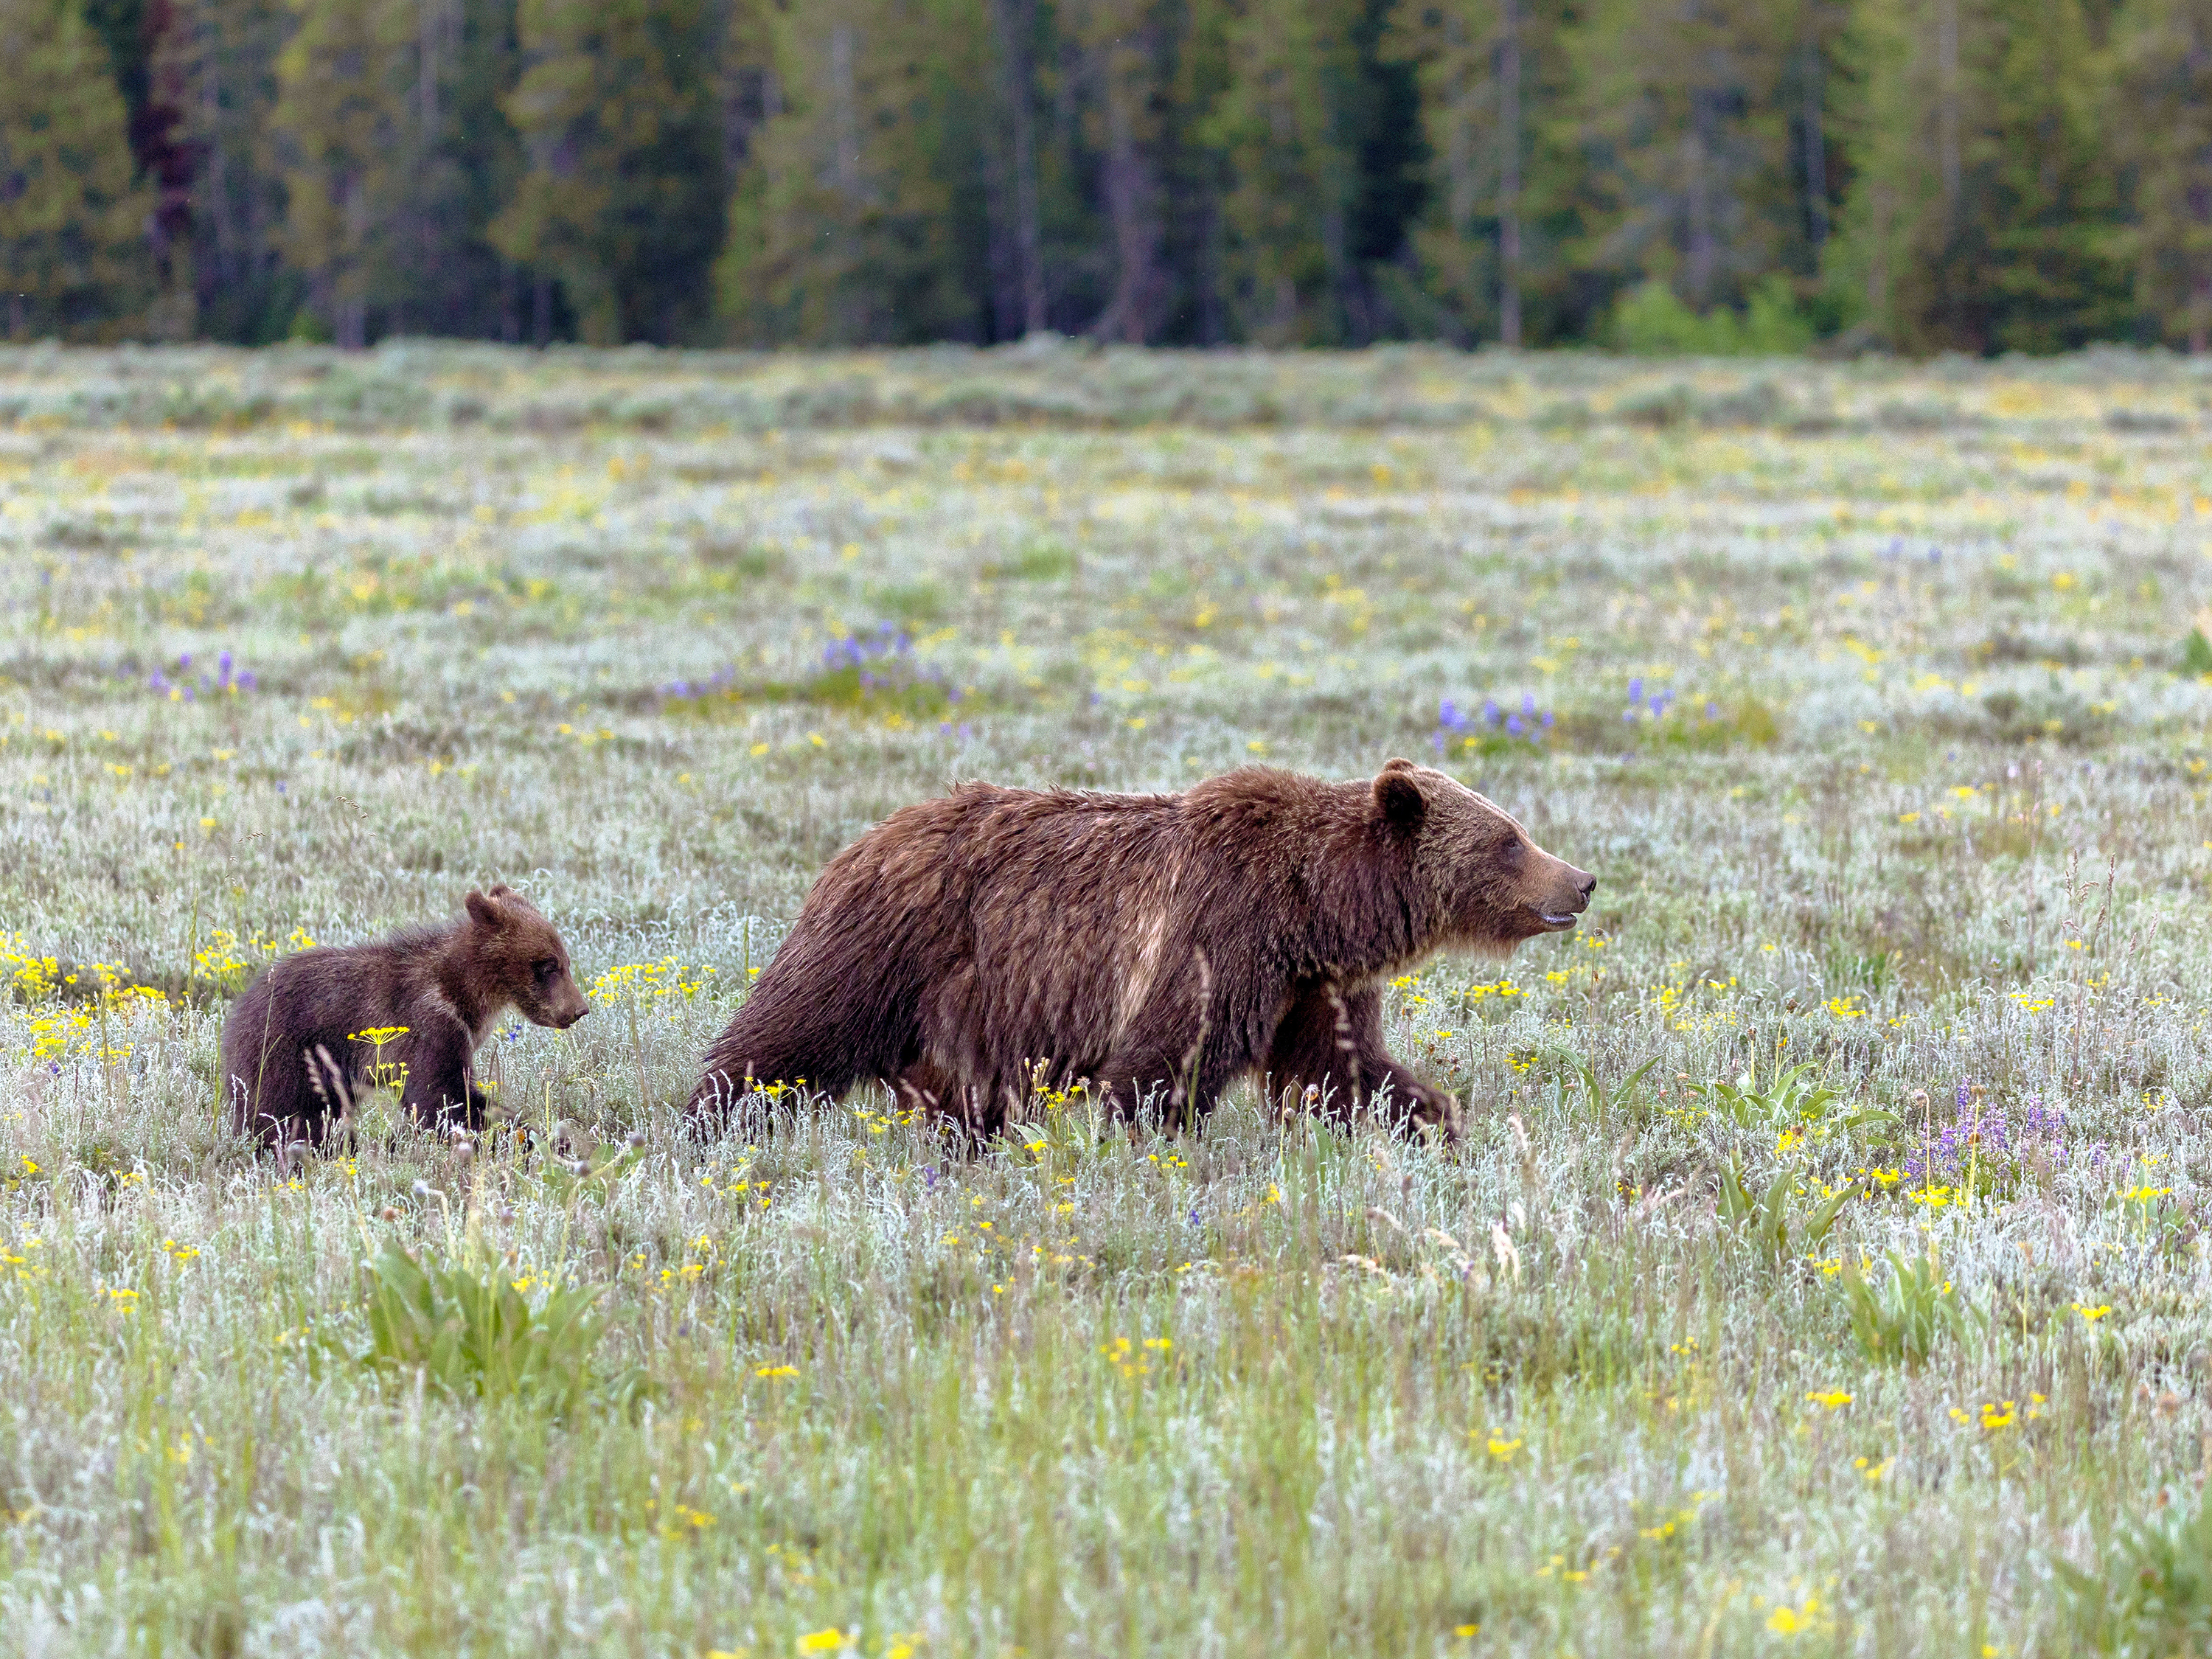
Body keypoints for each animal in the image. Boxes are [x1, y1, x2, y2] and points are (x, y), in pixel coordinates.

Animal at [219, 884, 589, 1145]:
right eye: (549, 965)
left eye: (565, 961)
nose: (579, 1010)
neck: (465, 994)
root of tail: (238, 1009)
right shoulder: (426, 1022)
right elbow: (441, 1099)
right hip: (286, 1053)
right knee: (284, 1115)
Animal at [688, 759, 1594, 1136]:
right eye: (1510, 839)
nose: (1582, 880)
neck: (1314, 905)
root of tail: (864, 838)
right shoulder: (1221, 933)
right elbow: (1168, 1058)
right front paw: (1142, 1142)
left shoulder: (1312, 982)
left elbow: (1340, 1071)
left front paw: (1436, 1123)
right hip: (890, 941)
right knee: (792, 1037)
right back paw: (715, 1123)